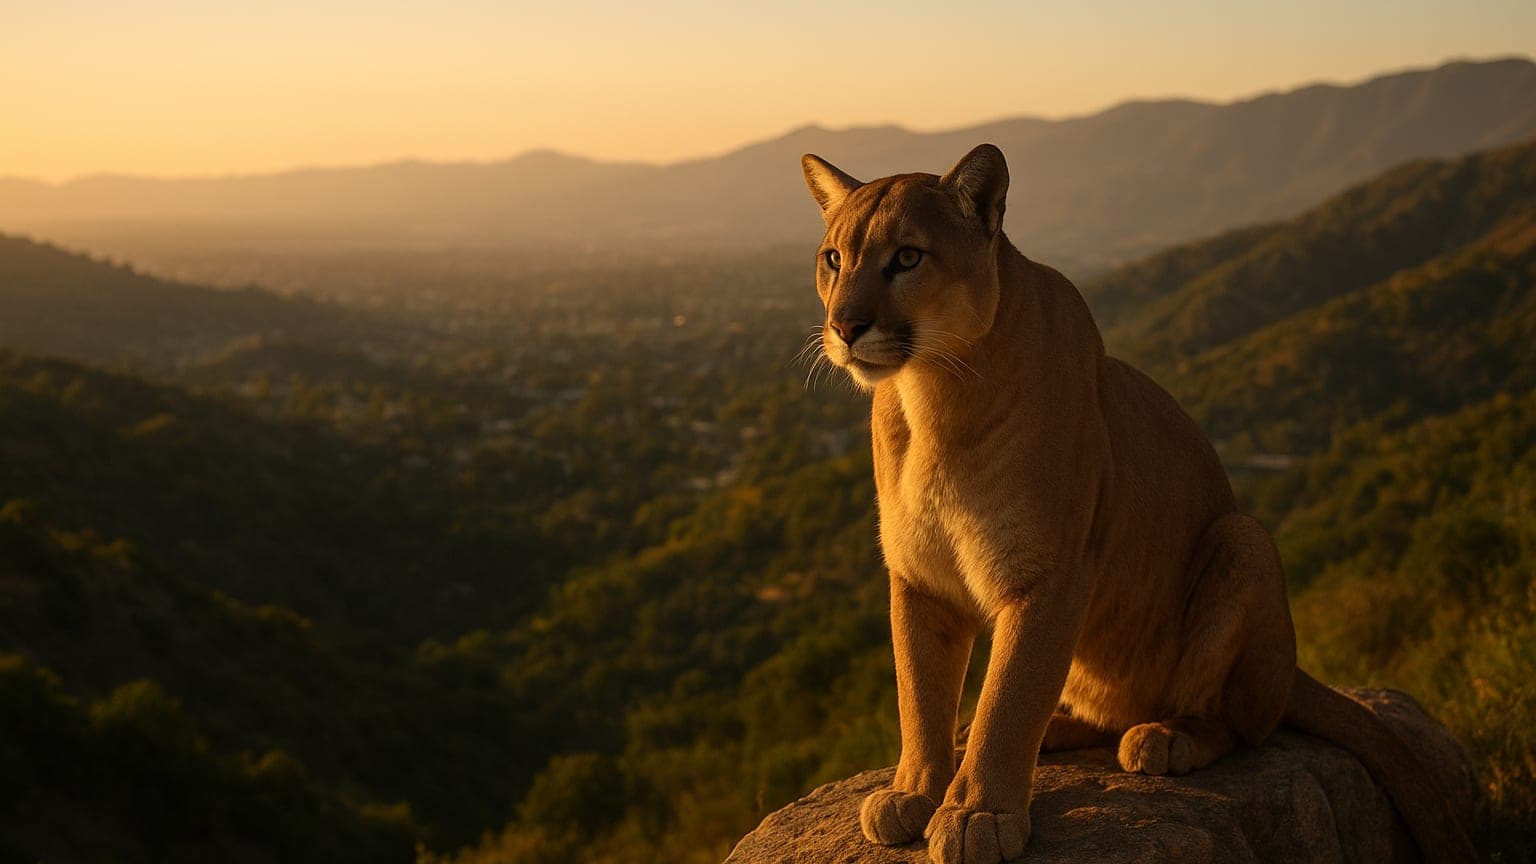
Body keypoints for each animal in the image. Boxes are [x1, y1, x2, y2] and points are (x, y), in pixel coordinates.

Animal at [798, 144, 1475, 864]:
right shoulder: (920, 578)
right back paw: (1048, 730)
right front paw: (915, 790)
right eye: (834, 258)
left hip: (1245, 541)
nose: (845, 326)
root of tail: (1293, 670)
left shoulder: (1049, 577)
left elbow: (1008, 697)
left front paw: (978, 813)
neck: (930, 395)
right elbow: (919, 694)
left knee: (1235, 723)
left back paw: (1165, 738)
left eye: (907, 257)